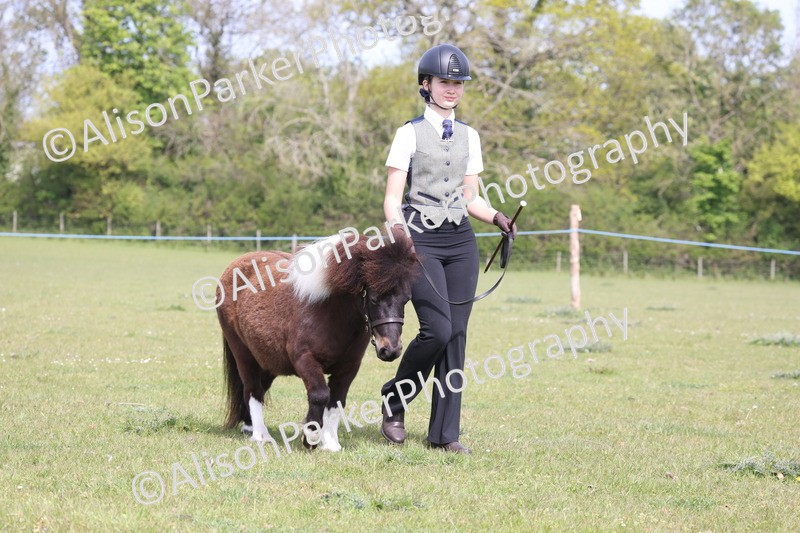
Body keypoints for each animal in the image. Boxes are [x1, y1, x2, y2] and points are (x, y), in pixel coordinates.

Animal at [216, 225, 418, 451]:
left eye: (406, 299)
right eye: (374, 298)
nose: (391, 350)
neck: (328, 311)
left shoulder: (349, 367)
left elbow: (336, 401)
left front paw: (330, 444)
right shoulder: (305, 359)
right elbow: (320, 395)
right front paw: (310, 436)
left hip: (268, 360)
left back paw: (249, 426)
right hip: (243, 354)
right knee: (252, 390)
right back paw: (261, 435)